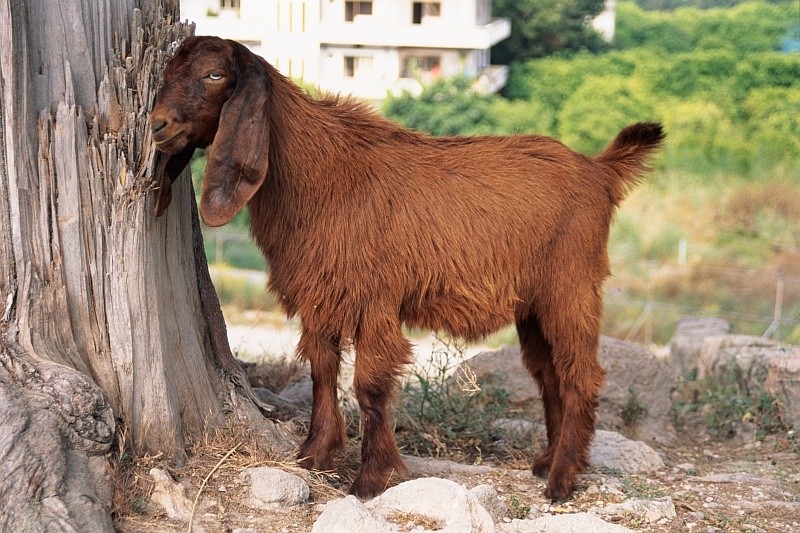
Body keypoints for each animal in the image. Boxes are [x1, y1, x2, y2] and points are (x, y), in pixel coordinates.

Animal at [150, 35, 665, 501]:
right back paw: (546, 462)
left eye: (214, 75)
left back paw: (562, 481)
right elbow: (321, 372)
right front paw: (314, 456)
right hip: (534, 306)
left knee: (581, 375)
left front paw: (370, 479)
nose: (157, 125)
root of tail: (600, 170)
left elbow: (370, 387)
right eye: (167, 71)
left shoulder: (375, 300)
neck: (324, 173)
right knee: (549, 375)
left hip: (571, 287)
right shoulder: (321, 295)